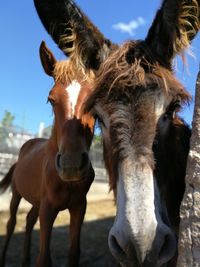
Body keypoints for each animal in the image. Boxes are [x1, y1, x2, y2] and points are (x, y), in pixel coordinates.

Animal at [0, 40, 96, 267]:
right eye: (50, 99)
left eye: (95, 101)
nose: (71, 165)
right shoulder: (48, 209)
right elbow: (44, 258)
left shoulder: (79, 207)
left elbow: (74, 253)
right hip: (17, 194)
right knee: (11, 224)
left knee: (28, 220)